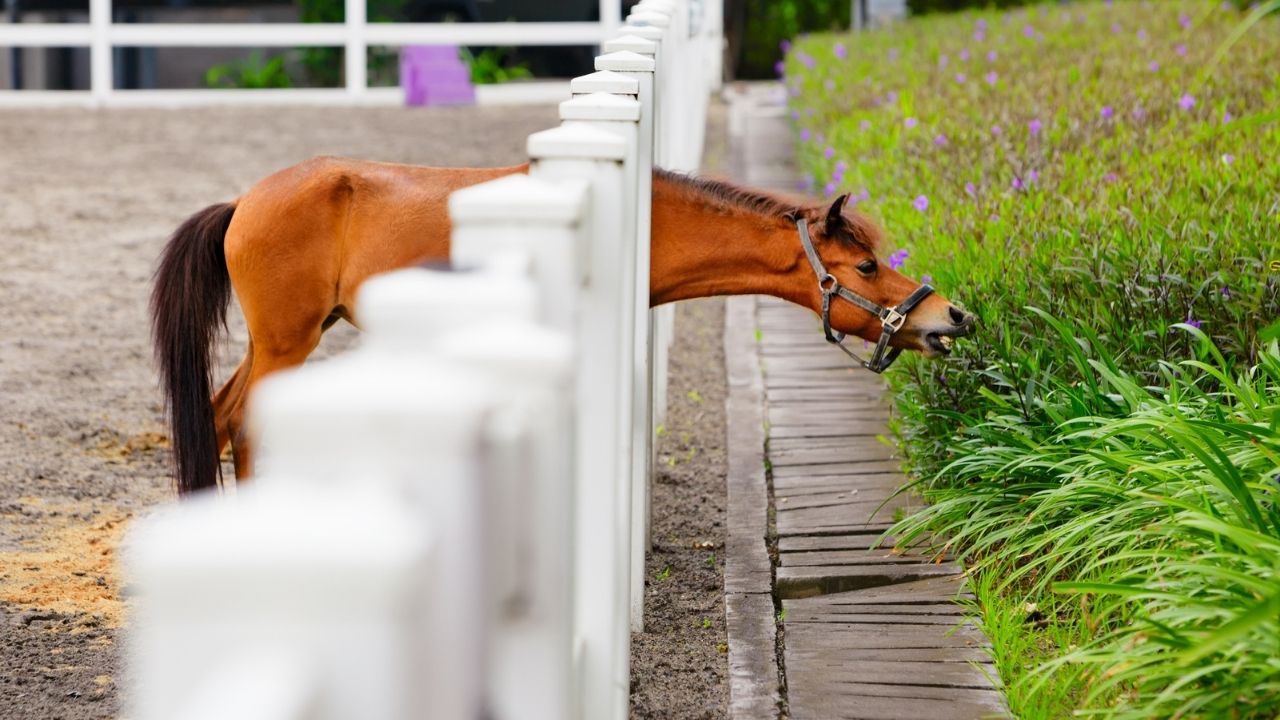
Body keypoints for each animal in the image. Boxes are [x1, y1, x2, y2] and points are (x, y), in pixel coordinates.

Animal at [147, 156, 967, 491]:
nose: (949, 315)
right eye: (866, 266)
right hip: (286, 343)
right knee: (244, 424)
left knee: (217, 417)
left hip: (284, 339)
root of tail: (244, 203)